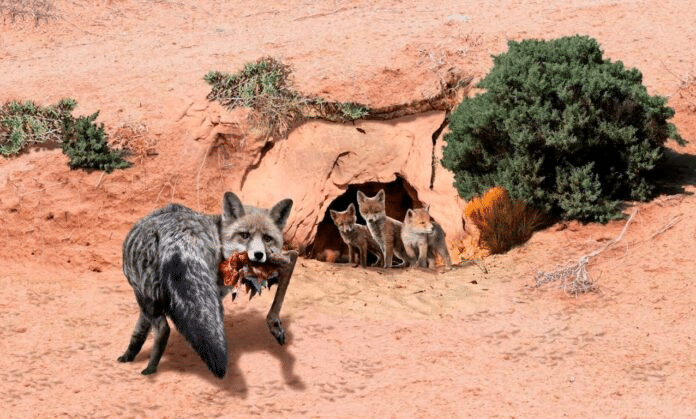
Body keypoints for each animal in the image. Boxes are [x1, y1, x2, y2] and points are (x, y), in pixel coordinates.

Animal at [117, 192, 294, 378]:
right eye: (244, 235)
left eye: (267, 238)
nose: (259, 255)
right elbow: (140, 331)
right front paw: (129, 355)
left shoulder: (151, 297)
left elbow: (139, 331)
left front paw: (129, 355)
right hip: (147, 295)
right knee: (164, 329)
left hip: (145, 295)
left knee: (163, 329)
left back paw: (151, 367)